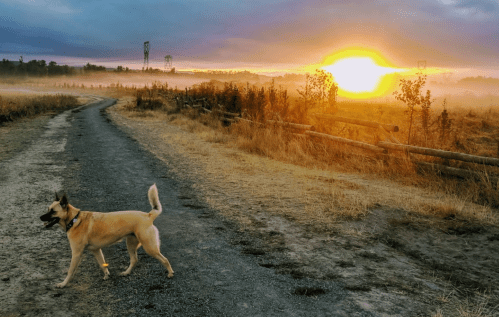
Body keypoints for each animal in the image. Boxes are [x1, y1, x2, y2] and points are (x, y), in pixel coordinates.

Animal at [40, 184, 175, 288]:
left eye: (53, 211)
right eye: (47, 209)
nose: (40, 217)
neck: (74, 219)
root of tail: (148, 215)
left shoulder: (77, 253)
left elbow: (70, 271)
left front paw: (63, 284)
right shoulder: (96, 250)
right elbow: (102, 263)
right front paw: (106, 275)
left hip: (149, 247)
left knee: (165, 259)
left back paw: (170, 273)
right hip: (131, 244)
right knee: (134, 260)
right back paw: (126, 272)